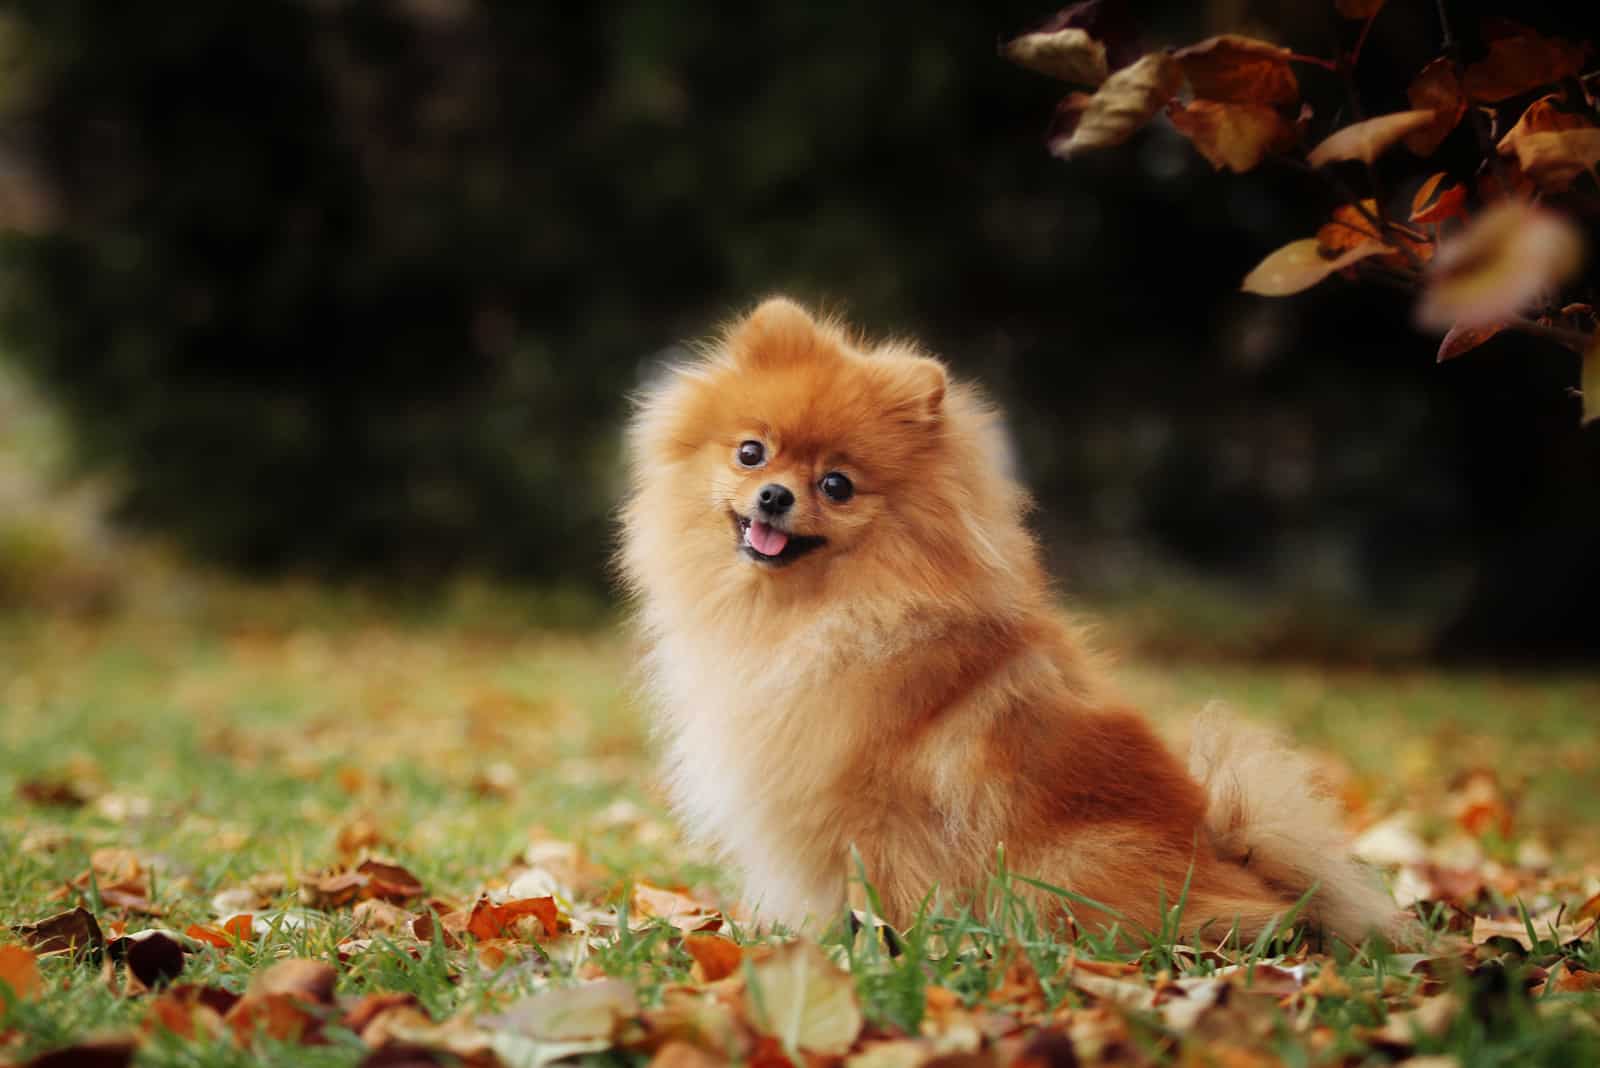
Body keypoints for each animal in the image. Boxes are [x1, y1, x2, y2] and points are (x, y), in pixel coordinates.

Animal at [617, 295, 1395, 940]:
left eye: (837, 486)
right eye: (752, 452)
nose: (775, 496)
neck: (817, 614)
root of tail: (1241, 864)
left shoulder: (874, 808)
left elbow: (880, 890)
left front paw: (876, 951)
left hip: (1067, 866)